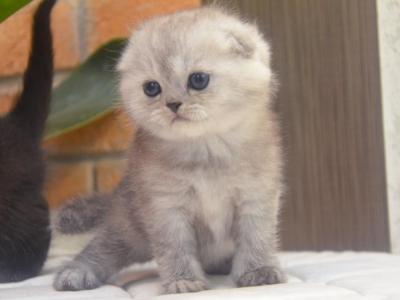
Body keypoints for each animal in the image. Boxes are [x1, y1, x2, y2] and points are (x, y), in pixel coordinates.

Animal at [53, 6, 286, 292]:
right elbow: (174, 249)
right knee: (100, 250)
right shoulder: (165, 207)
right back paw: (75, 273)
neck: (205, 154)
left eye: (198, 79)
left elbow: (257, 238)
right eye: (151, 88)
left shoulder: (255, 198)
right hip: (126, 229)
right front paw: (183, 280)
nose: (173, 104)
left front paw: (259, 271)